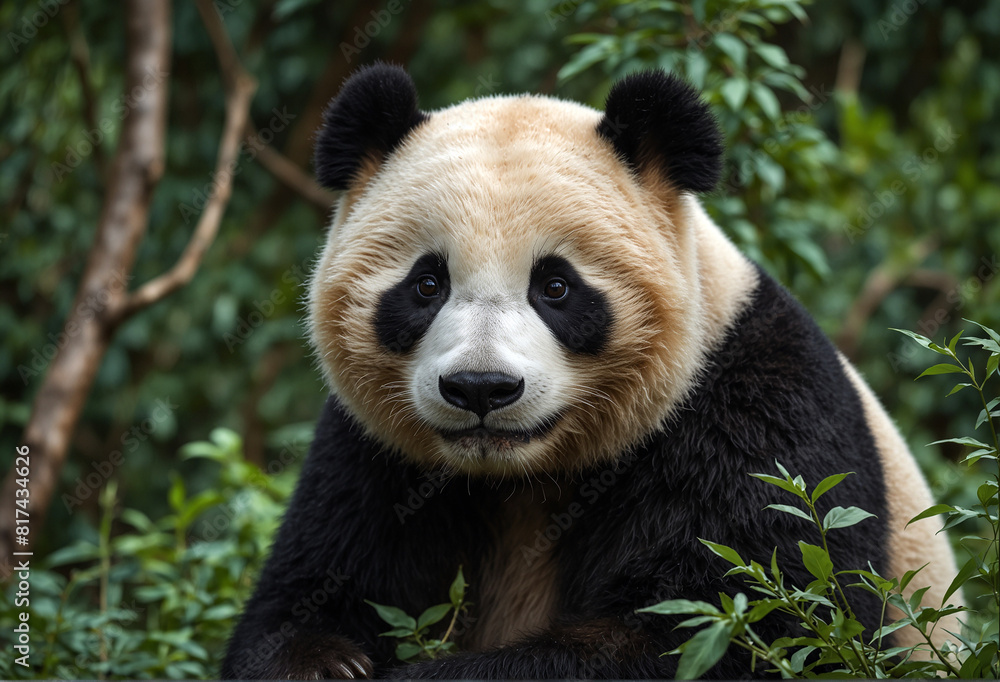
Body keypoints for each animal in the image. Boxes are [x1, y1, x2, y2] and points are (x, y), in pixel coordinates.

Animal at [221, 64, 961, 679]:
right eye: (426, 284)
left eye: (556, 287)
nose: (481, 389)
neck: (525, 476)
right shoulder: (371, 455)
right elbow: (305, 591)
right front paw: (325, 663)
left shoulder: (755, 408)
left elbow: (740, 627)